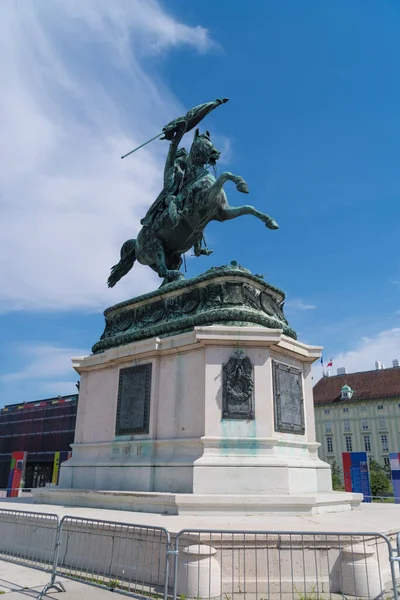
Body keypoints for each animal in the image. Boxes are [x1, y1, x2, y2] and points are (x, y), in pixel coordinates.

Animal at [108, 127, 278, 288]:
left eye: (210, 141)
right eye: (200, 143)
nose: (216, 153)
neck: (196, 177)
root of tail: (135, 245)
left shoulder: (222, 213)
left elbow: (248, 208)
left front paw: (270, 221)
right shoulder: (202, 202)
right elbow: (224, 175)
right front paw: (241, 183)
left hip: (173, 257)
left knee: (165, 277)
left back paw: (177, 278)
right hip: (155, 246)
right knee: (163, 270)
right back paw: (175, 274)